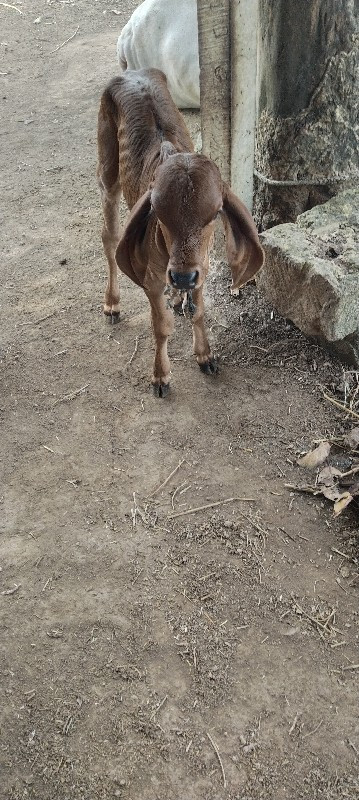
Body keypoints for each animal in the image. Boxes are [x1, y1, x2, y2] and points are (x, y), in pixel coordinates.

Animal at [97, 68, 264, 396]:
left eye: (215, 213)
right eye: (158, 213)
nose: (182, 277)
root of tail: (131, 71)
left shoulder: (203, 268)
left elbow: (199, 312)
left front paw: (205, 355)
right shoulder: (150, 278)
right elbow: (161, 326)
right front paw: (160, 376)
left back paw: (176, 298)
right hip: (107, 171)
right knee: (109, 238)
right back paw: (113, 303)